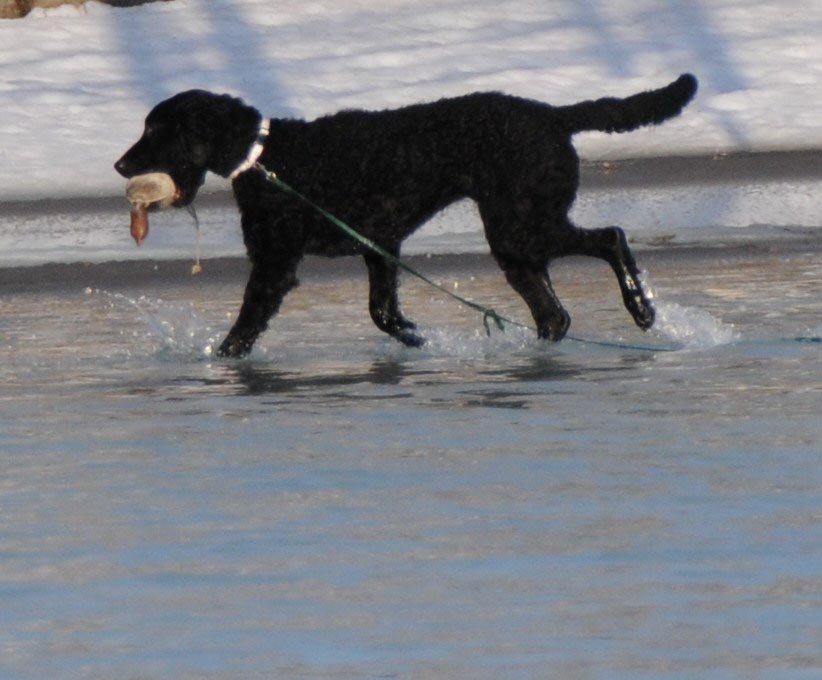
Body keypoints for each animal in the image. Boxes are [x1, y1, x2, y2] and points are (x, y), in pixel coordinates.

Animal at [114, 75, 696, 356]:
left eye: (157, 129)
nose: (118, 164)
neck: (270, 158)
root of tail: (554, 116)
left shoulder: (275, 264)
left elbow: (243, 329)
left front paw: (221, 360)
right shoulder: (380, 247)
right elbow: (384, 314)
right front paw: (421, 341)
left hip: (524, 225)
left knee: (611, 237)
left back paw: (641, 310)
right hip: (516, 243)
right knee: (555, 316)